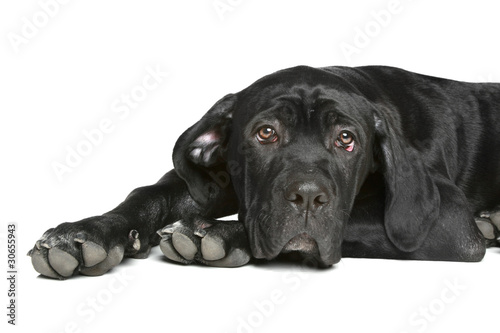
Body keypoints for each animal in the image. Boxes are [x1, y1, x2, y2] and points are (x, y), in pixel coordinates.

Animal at [30, 65, 500, 278]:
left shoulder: (447, 221)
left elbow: (346, 220)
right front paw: (87, 233)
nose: (308, 196)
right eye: (266, 133)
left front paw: (217, 234)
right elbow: (148, 194)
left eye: (347, 139)